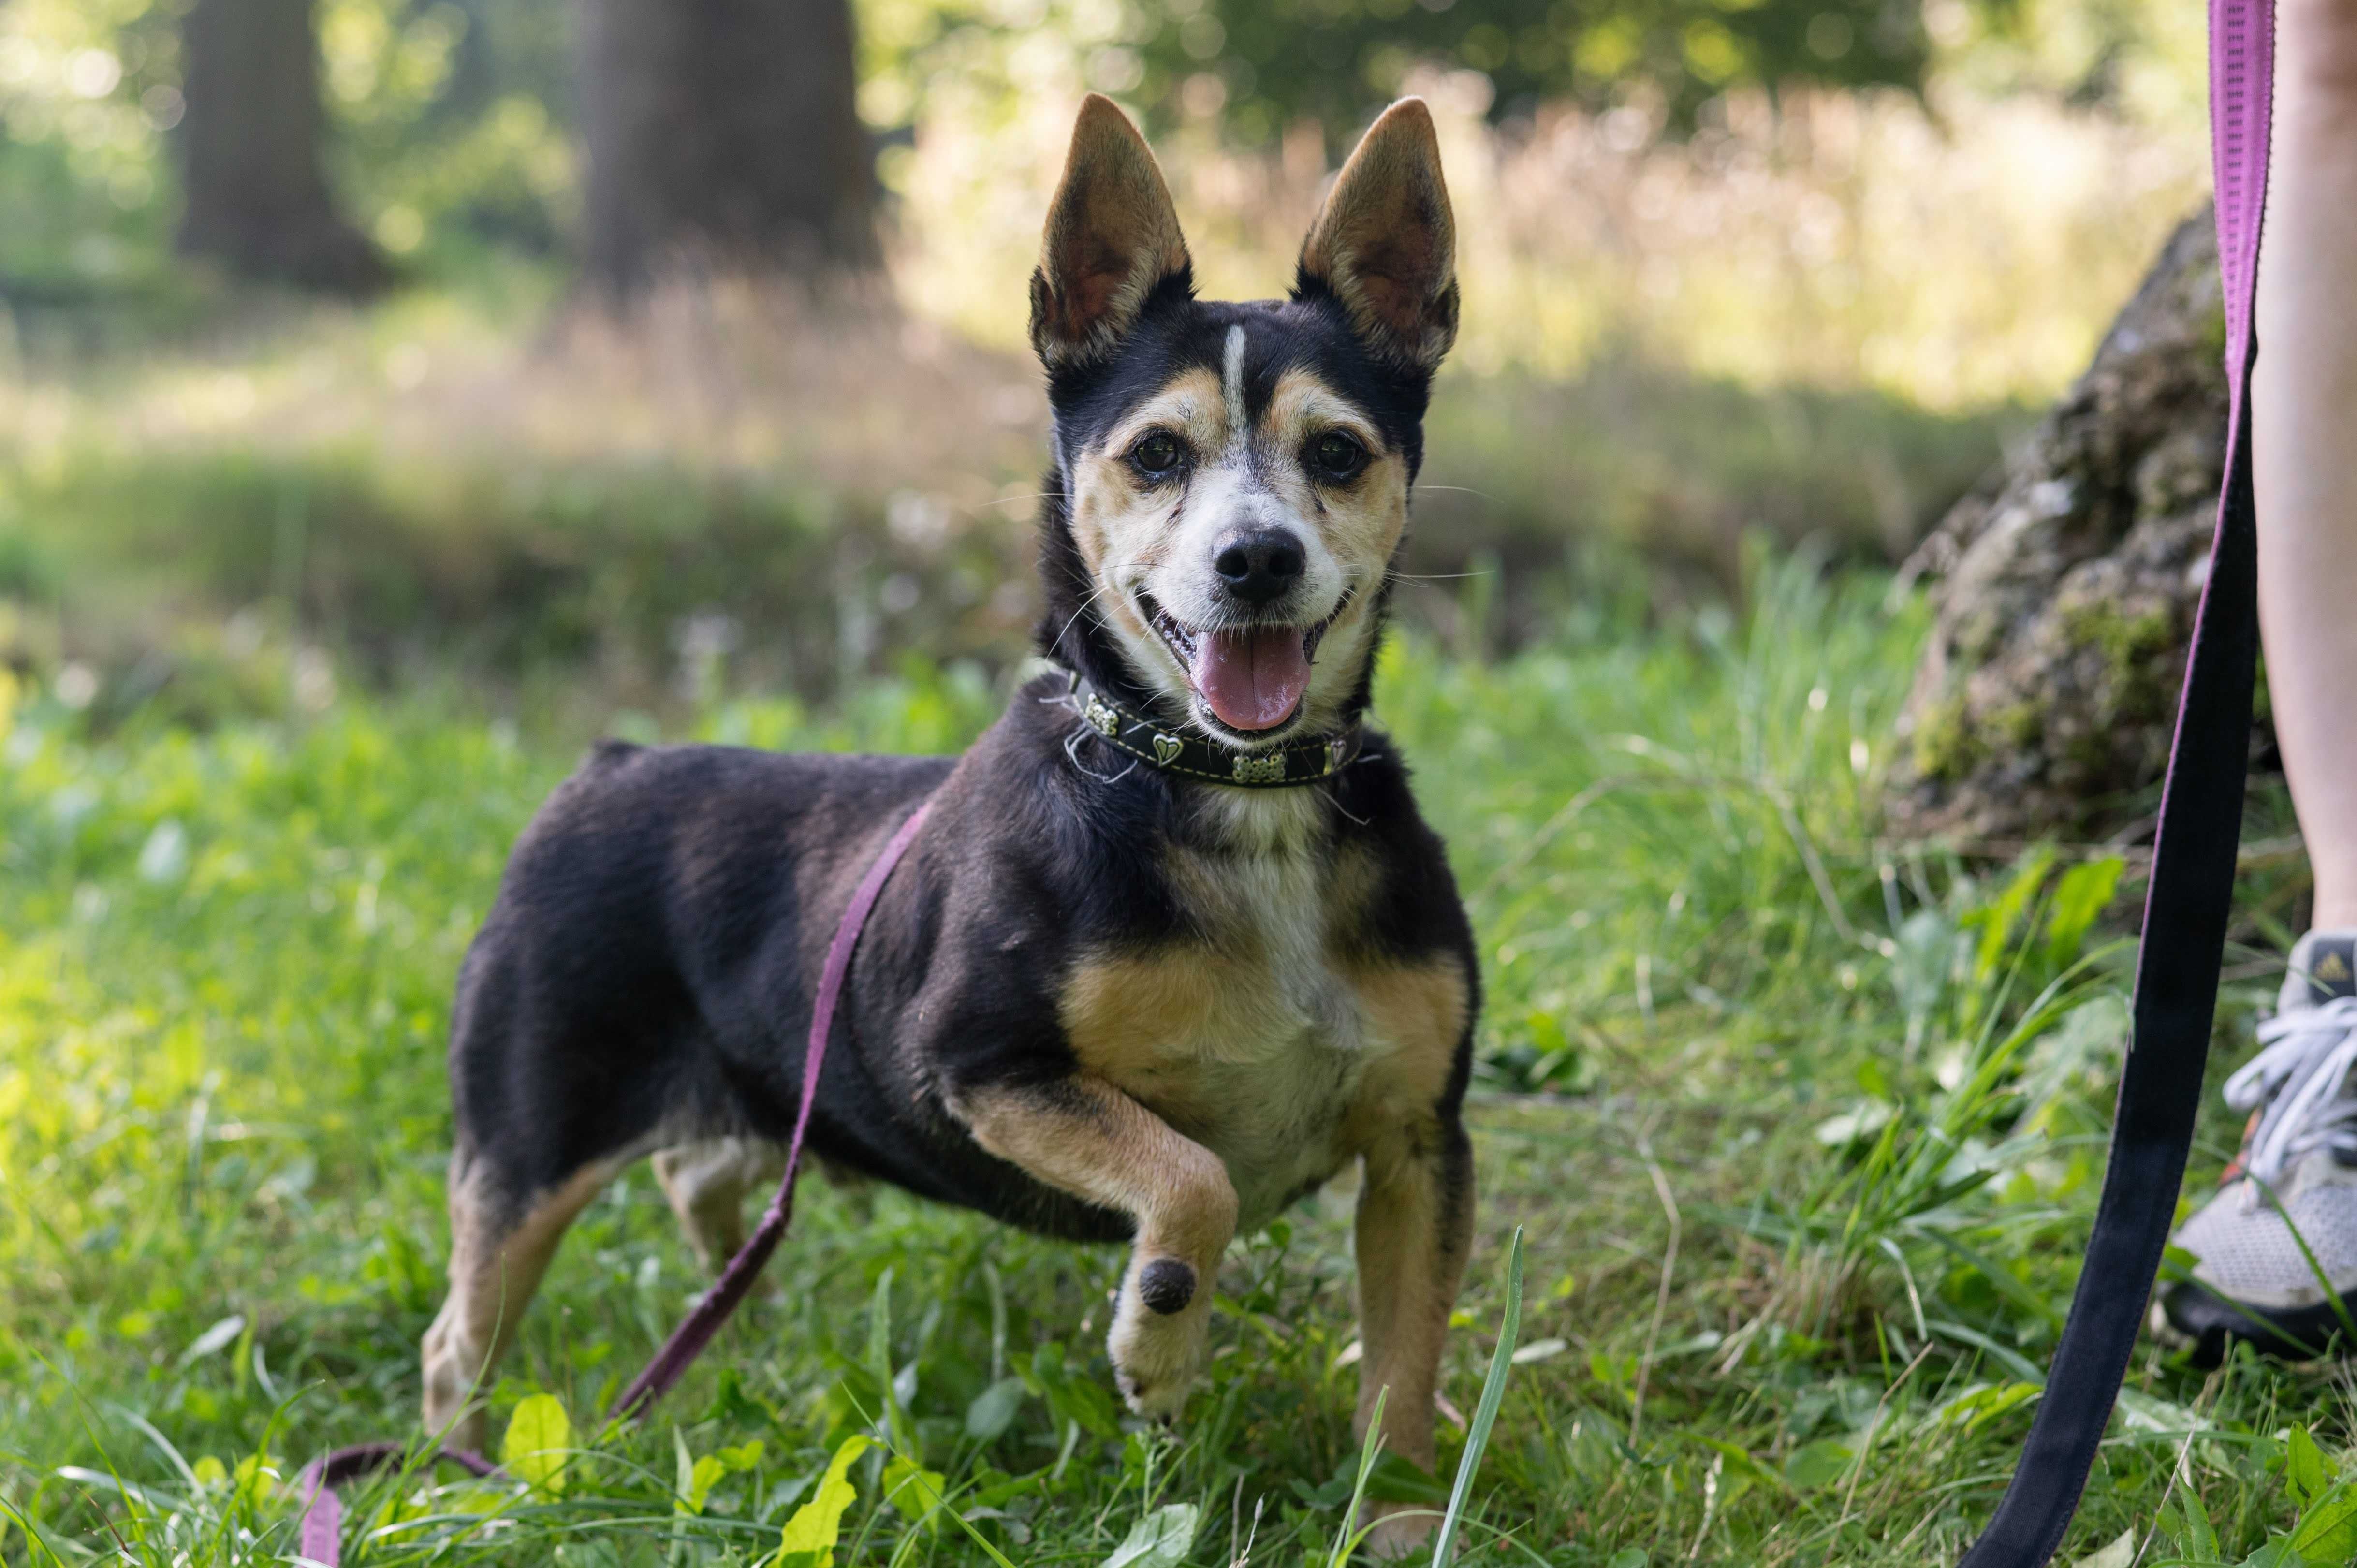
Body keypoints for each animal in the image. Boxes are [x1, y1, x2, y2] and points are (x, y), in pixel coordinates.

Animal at [424, 95, 1471, 1537]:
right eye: (1156, 454)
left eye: (1338, 453)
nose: (1255, 557)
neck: (1219, 787)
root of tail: (611, 763)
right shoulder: (978, 1063)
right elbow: (1189, 1179)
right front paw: (1157, 1347)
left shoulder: (1423, 1142)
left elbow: (1405, 1374)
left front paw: (1402, 1524)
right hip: (528, 1139)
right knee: (457, 1339)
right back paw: (462, 1483)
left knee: (699, 1182)